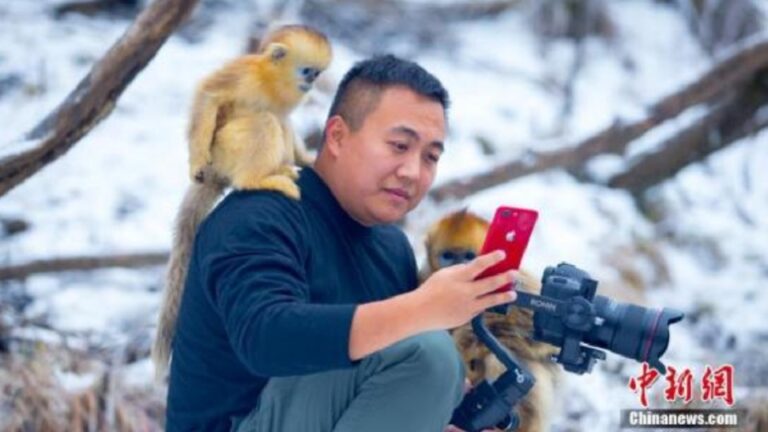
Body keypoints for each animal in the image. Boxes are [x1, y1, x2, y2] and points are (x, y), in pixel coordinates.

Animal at [151, 24, 332, 380]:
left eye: (317, 74)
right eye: (307, 70)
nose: (312, 82)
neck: (271, 82)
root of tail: (218, 174)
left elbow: (287, 122)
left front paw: (308, 160)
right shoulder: (244, 73)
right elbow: (209, 95)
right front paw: (195, 160)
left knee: (279, 122)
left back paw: (282, 168)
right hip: (224, 152)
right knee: (266, 122)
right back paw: (258, 179)